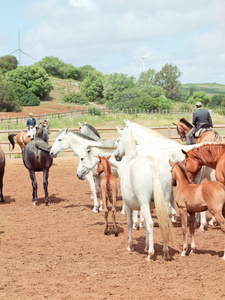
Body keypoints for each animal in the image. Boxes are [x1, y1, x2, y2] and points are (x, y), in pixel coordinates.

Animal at [113, 126, 173, 260]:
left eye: (118, 140)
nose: (116, 155)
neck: (132, 159)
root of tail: (152, 164)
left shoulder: (129, 205)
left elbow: (130, 223)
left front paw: (131, 245)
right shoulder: (147, 207)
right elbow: (144, 223)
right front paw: (145, 246)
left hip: (144, 203)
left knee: (151, 223)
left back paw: (151, 254)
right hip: (164, 202)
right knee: (163, 223)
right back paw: (165, 252)